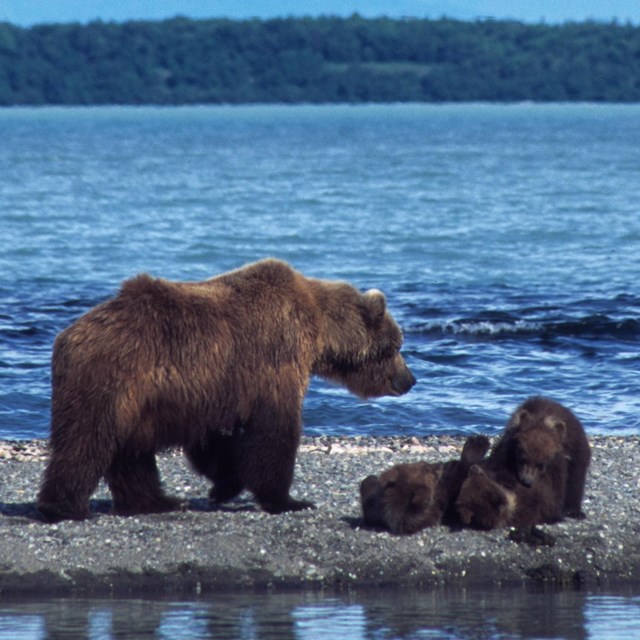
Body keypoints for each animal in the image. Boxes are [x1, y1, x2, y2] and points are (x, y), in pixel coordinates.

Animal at [38, 258, 416, 524]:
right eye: (396, 345)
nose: (409, 379)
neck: (319, 329)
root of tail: (66, 336)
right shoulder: (273, 360)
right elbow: (275, 431)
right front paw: (288, 500)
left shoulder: (213, 389)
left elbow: (215, 439)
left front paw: (225, 485)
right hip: (109, 378)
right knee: (86, 440)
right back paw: (65, 507)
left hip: (136, 399)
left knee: (130, 451)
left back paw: (158, 501)